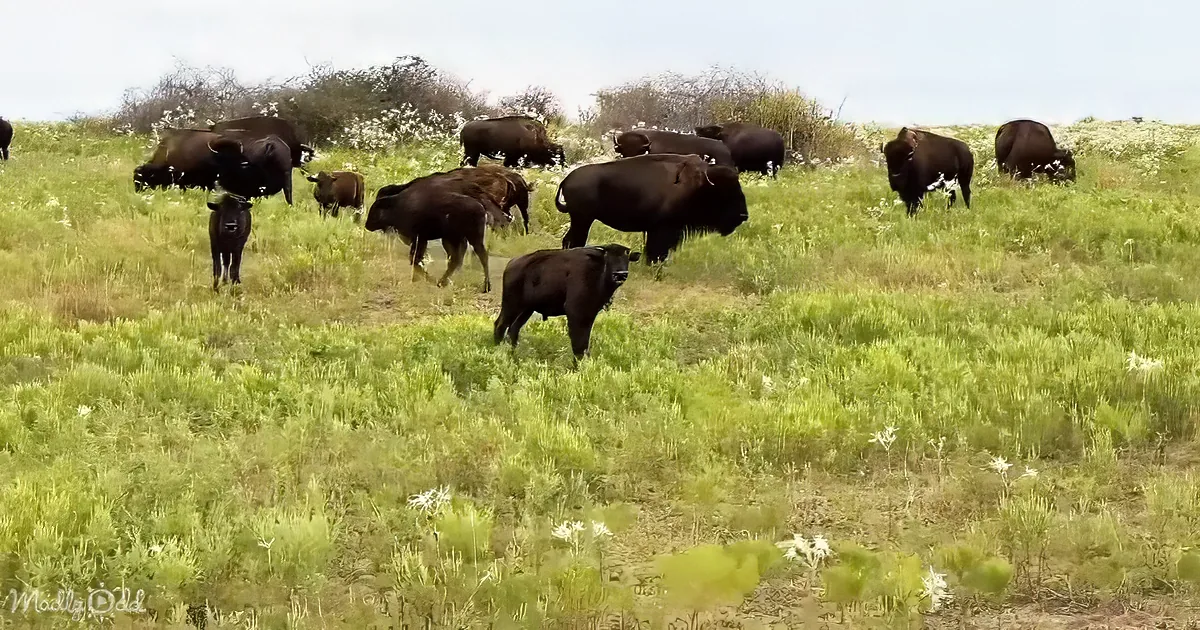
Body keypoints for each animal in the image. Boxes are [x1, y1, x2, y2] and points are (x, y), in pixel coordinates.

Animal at [364, 177, 509, 292]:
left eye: (375, 211)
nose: (367, 225)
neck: (398, 205)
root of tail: (481, 207)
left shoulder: (419, 238)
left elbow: (415, 258)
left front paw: (420, 278)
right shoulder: (422, 240)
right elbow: (416, 259)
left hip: (472, 238)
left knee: (481, 256)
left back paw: (485, 286)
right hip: (454, 238)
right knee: (456, 259)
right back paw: (443, 282)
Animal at [494, 244, 640, 362]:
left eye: (627, 256)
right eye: (608, 256)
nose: (620, 274)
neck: (597, 271)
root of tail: (512, 263)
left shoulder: (589, 314)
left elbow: (584, 343)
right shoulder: (576, 313)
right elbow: (578, 344)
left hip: (526, 310)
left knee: (513, 330)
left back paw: (512, 355)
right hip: (511, 305)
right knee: (500, 324)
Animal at [555, 153, 748, 263]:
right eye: (725, 192)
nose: (743, 215)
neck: (700, 185)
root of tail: (567, 179)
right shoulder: (663, 229)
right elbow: (656, 251)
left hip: (581, 219)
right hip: (583, 219)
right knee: (574, 240)